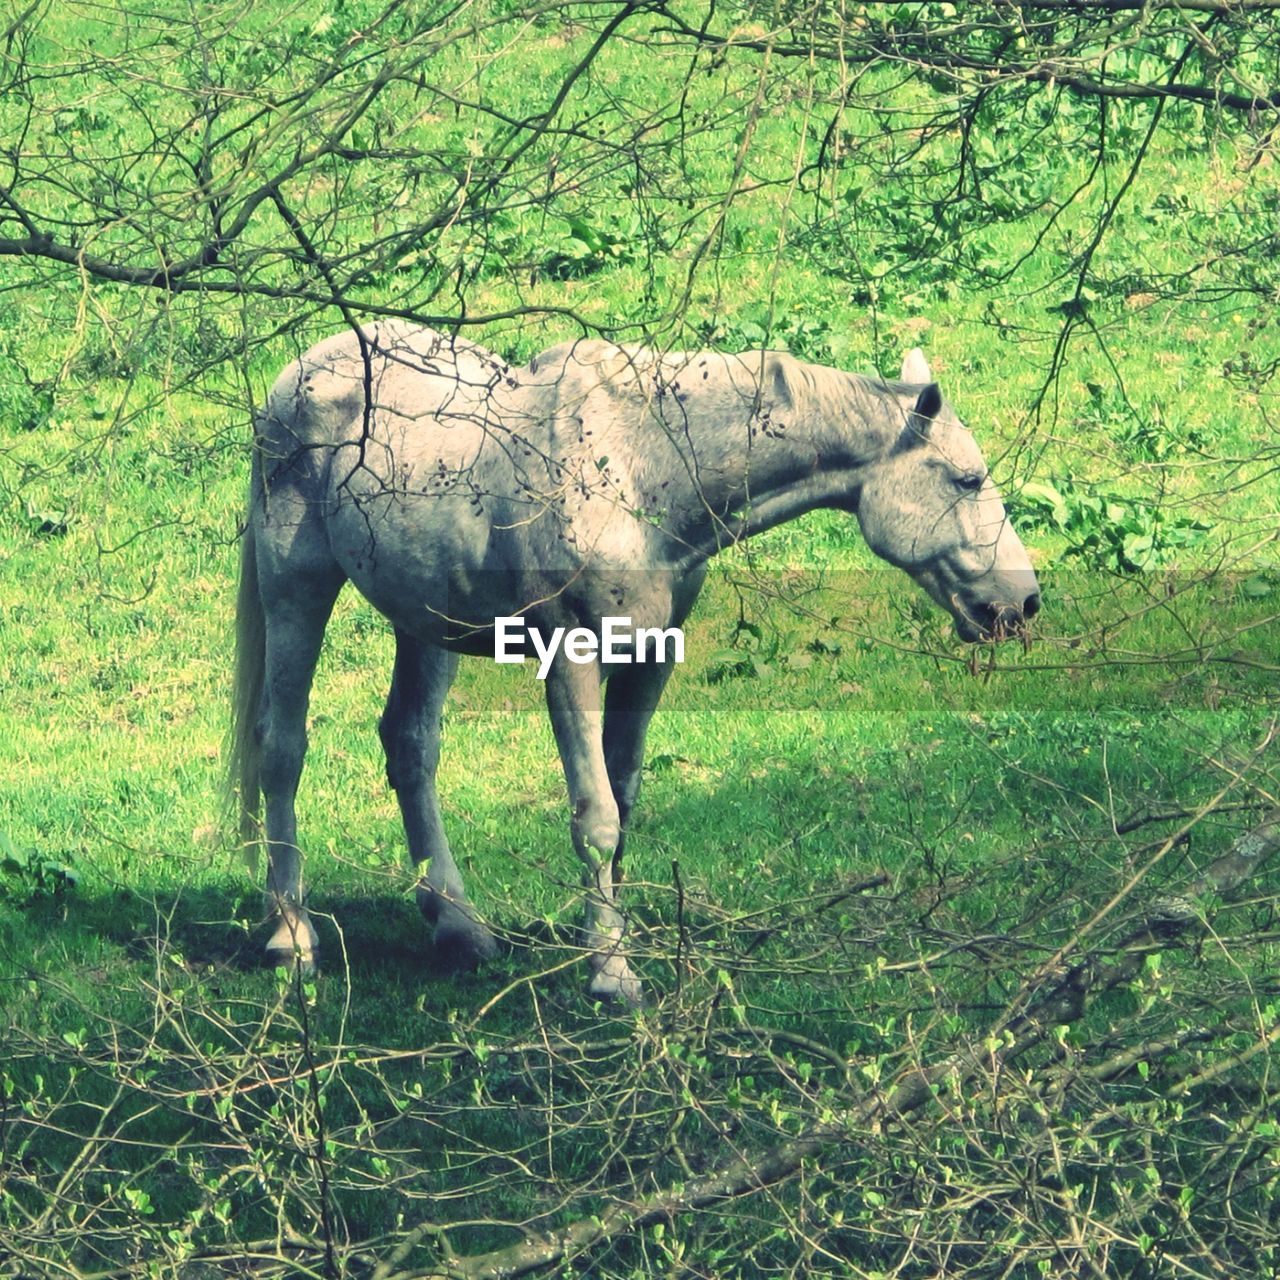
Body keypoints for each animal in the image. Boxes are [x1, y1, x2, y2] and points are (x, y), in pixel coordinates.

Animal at [225, 325, 1034, 1003]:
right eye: (966, 479)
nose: (1023, 603)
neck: (643, 469)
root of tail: (297, 376)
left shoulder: (649, 662)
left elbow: (625, 801)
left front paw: (612, 946)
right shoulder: (571, 661)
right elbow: (596, 818)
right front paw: (612, 977)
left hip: (425, 622)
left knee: (410, 748)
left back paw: (459, 927)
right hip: (297, 588)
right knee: (282, 749)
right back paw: (292, 936)